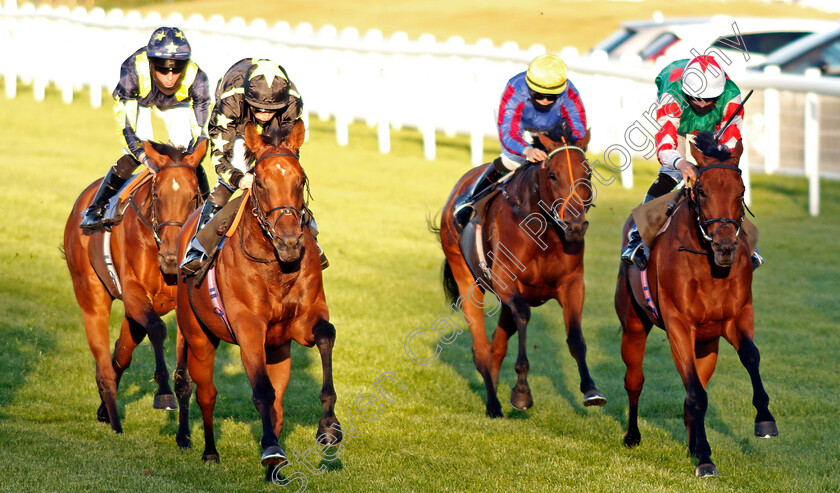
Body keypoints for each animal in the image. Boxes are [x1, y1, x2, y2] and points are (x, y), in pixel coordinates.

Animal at [63, 140, 206, 432]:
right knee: (105, 362)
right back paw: (114, 420)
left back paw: (105, 410)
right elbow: (158, 329)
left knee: (121, 353)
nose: (171, 258)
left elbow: (184, 375)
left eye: (193, 197)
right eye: (157, 196)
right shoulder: (133, 292)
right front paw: (163, 394)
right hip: (91, 295)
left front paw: (184, 434)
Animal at [174, 121, 342, 468]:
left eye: (300, 180)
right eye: (261, 183)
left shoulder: (302, 321)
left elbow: (325, 335)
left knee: (277, 404)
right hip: (198, 336)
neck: (276, 268)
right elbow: (262, 390)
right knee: (204, 392)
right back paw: (209, 450)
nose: (289, 241)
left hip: (277, 349)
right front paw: (271, 449)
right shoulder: (248, 326)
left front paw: (329, 426)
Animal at [440, 126, 604, 416]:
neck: (543, 231)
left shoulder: (572, 283)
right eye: (553, 174)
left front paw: (590, 389)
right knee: (481, 347)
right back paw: (493, 405)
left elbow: (575, 337)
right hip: (465, 276)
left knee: (497, 345)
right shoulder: (506, 281)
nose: (575, 226)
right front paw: (521, 392)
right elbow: (525, 316)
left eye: (588, 174)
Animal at [612, 132, 776, 476]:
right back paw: (632, 435)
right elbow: (696, 394)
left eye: (741, 191)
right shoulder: (678, 324)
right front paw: (705, 461)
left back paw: (692, 445)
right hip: (633, 325)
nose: (725, 247)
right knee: (635, 380)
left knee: (694, 387)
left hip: (707, 344)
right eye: (701, 191)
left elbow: (750, 357)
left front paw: (765, 420)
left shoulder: (737, 316)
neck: (709, 265)